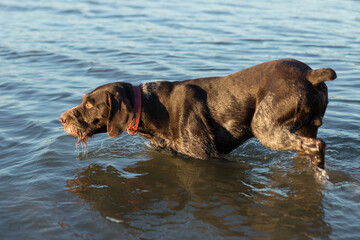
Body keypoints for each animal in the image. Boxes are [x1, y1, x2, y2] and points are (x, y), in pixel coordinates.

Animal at [60, 59, 336, 170]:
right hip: (304, 126)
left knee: (317, 146)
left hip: (266, 129)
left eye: (89, 105)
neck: (150, 106)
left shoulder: (207, 155)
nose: (61, 119)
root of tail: (310, 74)